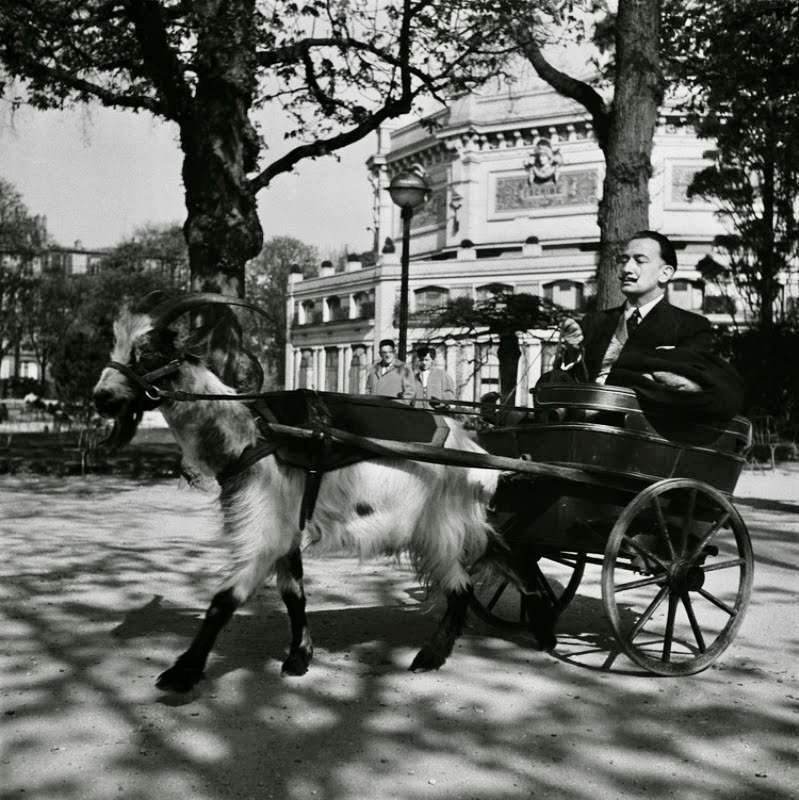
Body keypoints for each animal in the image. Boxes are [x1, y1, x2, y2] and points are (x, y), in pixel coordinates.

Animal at [92, 294, 520, 692]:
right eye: (115, 348)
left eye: (148, 353)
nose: (101, 398)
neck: (251, 434)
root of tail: (477, 452)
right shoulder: (286, 528)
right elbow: (293, 594)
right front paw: (299, 657)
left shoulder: (266, 528)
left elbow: (224, 600)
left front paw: (183, 673)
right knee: (496, 559)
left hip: (440, 526)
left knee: (461, 587)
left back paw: (431, 656)